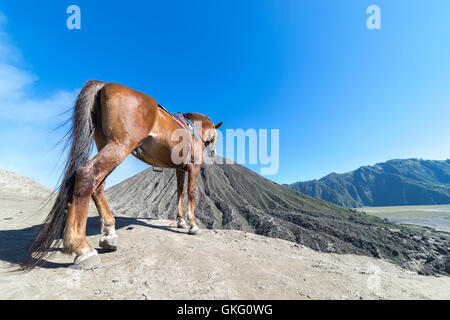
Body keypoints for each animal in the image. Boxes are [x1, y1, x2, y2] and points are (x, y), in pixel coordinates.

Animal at [22, 80, 223, 270]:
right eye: (216, 137)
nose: (213, 152)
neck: (194, 130)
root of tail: (104, 85)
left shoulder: (179, 169)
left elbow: (180, 192)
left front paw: (180, 221)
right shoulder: (193, 167)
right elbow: (190, 193)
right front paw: (192, 225)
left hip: (108, 146)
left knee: (98, 186)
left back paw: (109, 233)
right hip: (120, 147)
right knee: (87, 175)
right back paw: (82, 247)